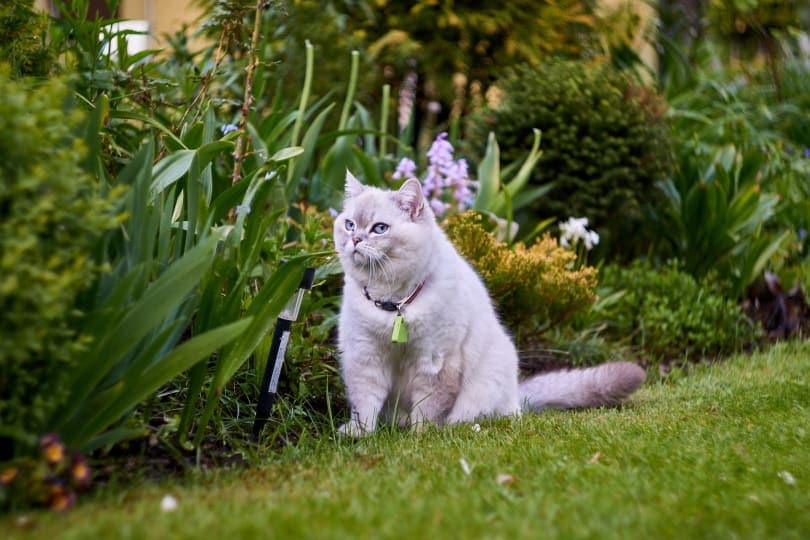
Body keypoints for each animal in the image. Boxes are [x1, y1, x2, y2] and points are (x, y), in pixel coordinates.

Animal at [330, 173, 644, 438]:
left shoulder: (435, 360)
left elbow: (428, 408)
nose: (355, 239)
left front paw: (421, 436)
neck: (393, 303)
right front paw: (358, 434)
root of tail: (517, 396)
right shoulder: (365, 356)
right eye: (349, 224)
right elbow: (365, 403)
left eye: (379, 229)